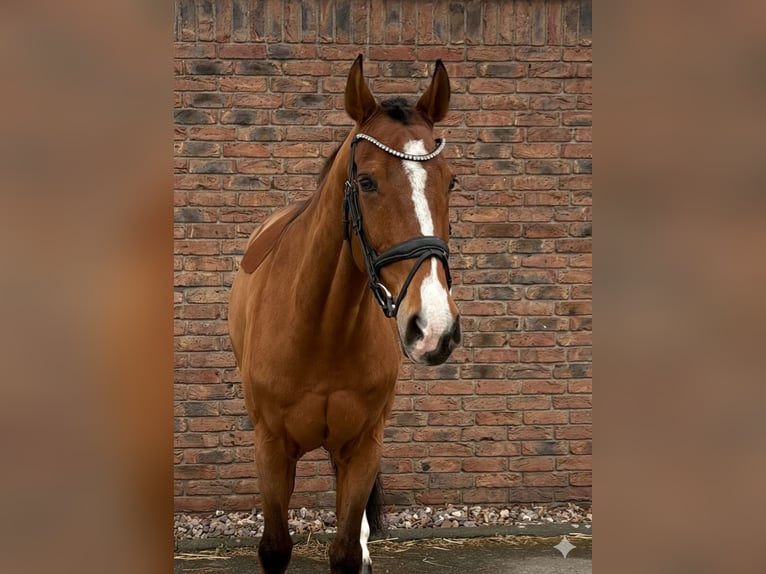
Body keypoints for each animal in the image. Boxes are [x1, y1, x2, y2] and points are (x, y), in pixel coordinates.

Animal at [228, 55, 461, 574]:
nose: (434, 328)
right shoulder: (270, 448)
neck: (321, 328)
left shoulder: (364, 445)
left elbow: (346, 552)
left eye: (451, 181)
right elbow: (275, 548)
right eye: (368, 181)